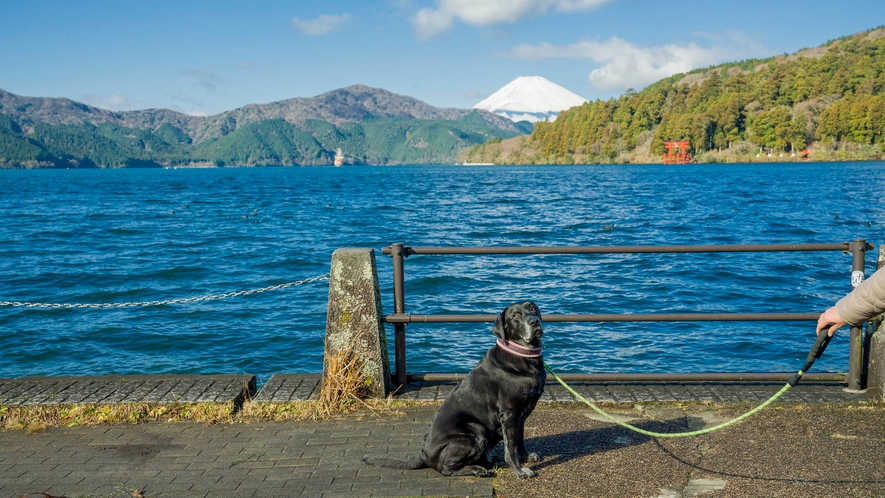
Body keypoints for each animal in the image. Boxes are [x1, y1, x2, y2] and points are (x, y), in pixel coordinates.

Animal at [360, 300, 544, 478]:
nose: (534, 321)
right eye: (516, 315)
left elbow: (520, 439)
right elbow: (511, 446)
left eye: (532, 308)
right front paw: (520, 470)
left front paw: (526, 457)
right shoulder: (510, 413)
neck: (522, 353)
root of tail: (423, 454)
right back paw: (477, 470)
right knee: (446, 470)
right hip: (475, 431)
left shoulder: (520, 415)